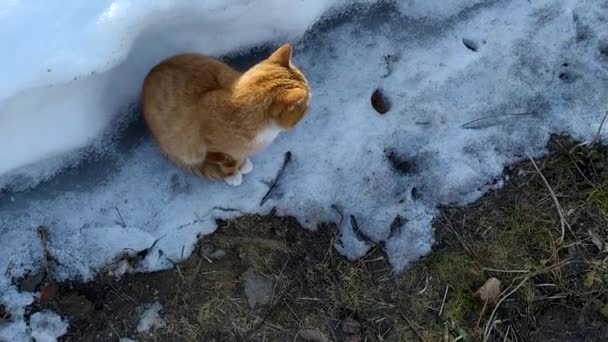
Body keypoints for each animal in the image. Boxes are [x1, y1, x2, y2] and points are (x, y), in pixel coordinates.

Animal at [141, 44, 308, 187]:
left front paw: (243, 162)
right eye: (305, 106)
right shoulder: (208, 146)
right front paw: (233, 174)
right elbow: (226, 162)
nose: (309, 109)